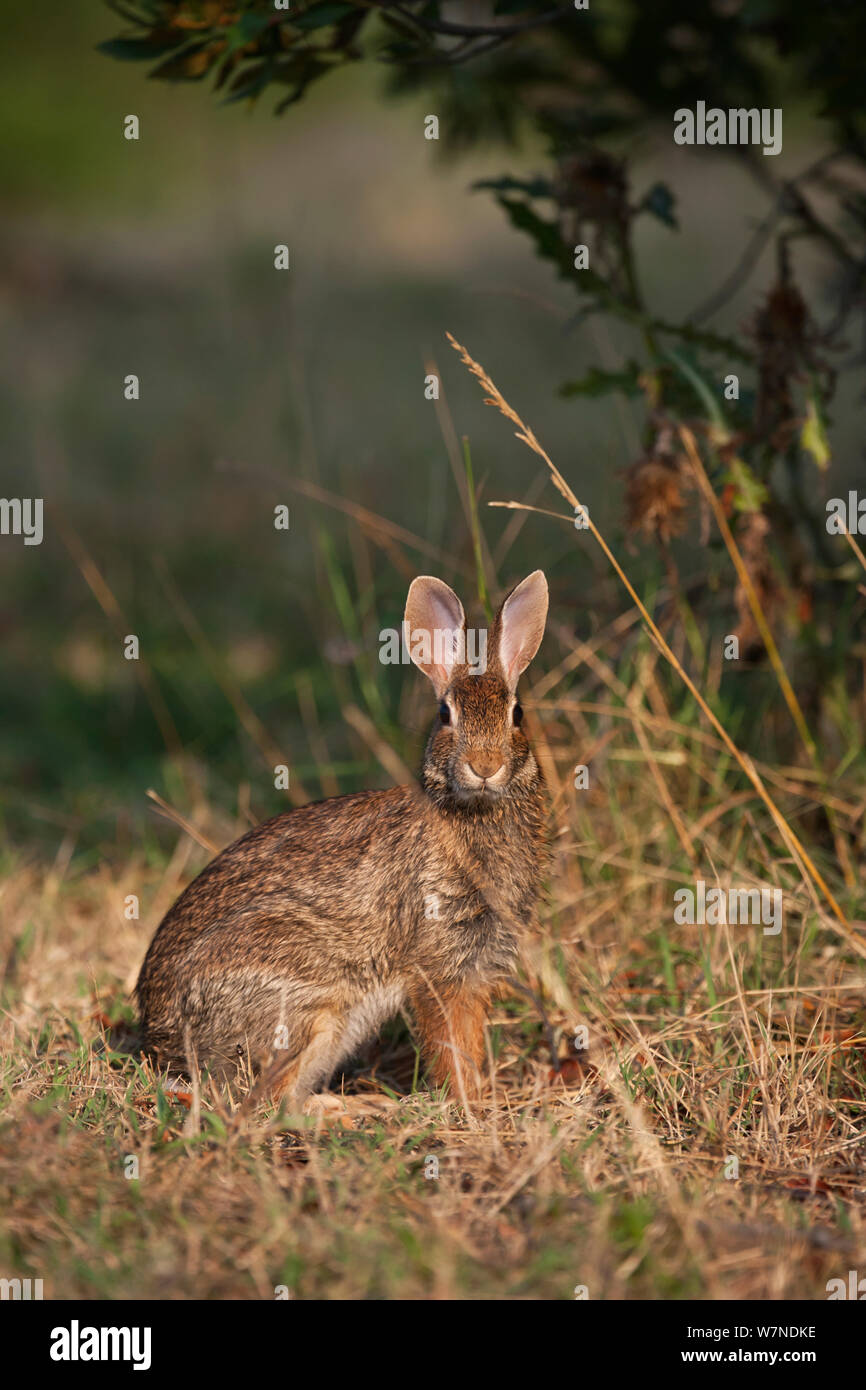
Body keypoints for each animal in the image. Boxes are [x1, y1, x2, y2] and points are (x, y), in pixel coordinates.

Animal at [139, 567, 553, 1106]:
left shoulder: (476, 966)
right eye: (445, 715)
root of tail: (161, 1044)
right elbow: (451, 1042)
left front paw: (482, 1098)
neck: (471, 811)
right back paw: (358, 1109)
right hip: (305, 1006)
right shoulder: (438, 964)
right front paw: (468, 1103)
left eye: (517, 714)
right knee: (268, 1103)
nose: (485, 766)